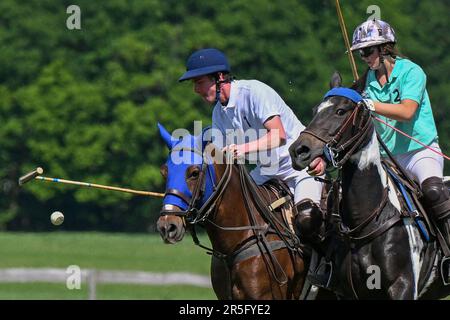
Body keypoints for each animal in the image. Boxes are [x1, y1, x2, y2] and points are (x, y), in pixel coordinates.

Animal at [288, 74, 450, 298]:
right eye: (314, 110)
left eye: (341, 111)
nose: (299, 151)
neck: (365, 220)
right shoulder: (348, 292)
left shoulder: (404, 285)